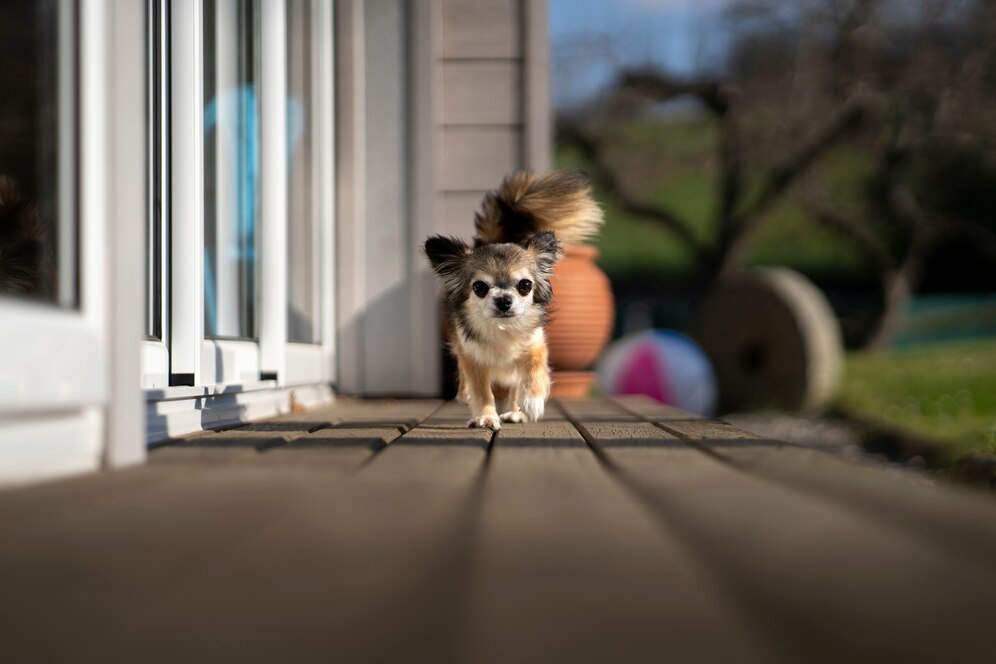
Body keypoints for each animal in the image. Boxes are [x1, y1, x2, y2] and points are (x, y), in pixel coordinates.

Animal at [424, 171, 604, 428]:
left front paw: (531, 402)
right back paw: (466, 393)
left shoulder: (534, 345)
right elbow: (482, 391)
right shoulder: (473, 356)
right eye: (479, 287)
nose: (503, 300)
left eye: (525, 286)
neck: (503, 329)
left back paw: (515, 411)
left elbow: (533, 371)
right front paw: (486, 416)